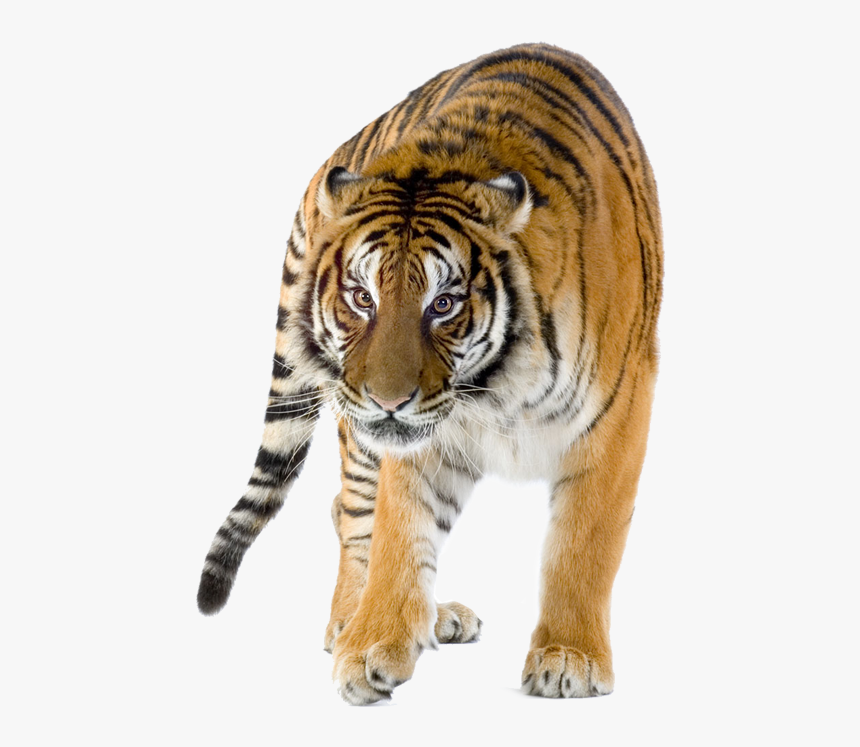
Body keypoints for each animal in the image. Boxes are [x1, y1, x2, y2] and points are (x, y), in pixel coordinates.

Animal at [196, 42, 662, 705]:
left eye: (442, 304)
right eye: (362, 298)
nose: (388, 400)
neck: (497, 392)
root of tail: (332, 161)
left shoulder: (616, 416)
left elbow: (583, 542)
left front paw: (568, 658)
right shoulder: (413, 438)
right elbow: (399, 533)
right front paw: (371, 645)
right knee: (351, 511)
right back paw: (352, 622)